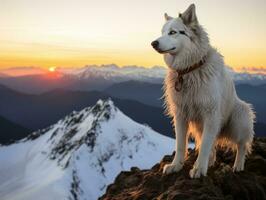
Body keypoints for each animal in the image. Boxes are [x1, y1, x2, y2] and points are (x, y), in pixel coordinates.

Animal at [151, 3, 255, 178]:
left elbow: (205, 145)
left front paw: (199, 168)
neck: (190, 70)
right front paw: (176, 165)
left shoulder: (210, 114)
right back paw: (211, 161)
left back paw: (238, 165)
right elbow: (180, 144)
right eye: (162, 32)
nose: (153, 43)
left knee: (241, 145)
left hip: (240, 117)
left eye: (173, 32)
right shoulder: (180, 114)